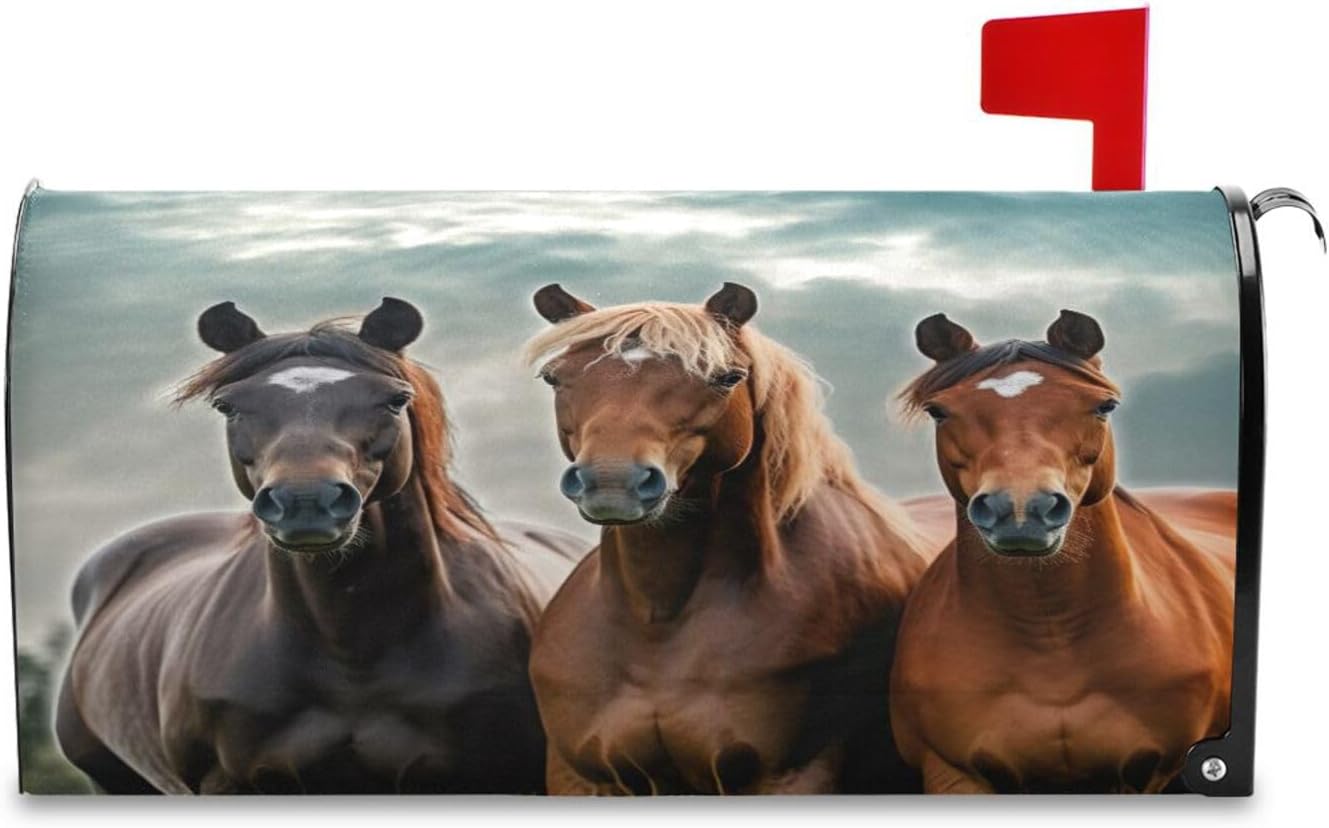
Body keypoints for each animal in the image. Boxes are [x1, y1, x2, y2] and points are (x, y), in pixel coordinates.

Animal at [523, 282, 929, 794]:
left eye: (726, 377)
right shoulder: (581, 776)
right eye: (553, 378)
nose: (612, 482)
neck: (658, 625)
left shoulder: (795, 774)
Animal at [889, 310, 1236, 794]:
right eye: (939, 411)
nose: (1020, 510)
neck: (1051, 635)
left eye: (1104, 406)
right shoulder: (952, 772)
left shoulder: (1151, 773)